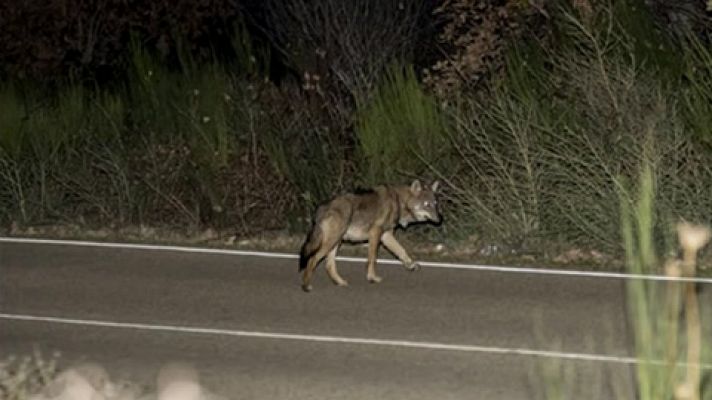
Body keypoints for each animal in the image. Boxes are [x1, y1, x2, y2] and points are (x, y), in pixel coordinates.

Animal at [296, 180, 440, 292]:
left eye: (435, 204)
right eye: (427, 205)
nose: (440, 219)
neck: (399, 201)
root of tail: (321, 207)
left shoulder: (386, 236)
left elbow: (402, 251)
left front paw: (410, 265)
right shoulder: (375, 234)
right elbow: (372, 259)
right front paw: (372, 278)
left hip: (336, 242)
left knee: (329, 266)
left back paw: (340, 282)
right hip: (331, 242)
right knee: (312, 259)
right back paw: (306, 286)